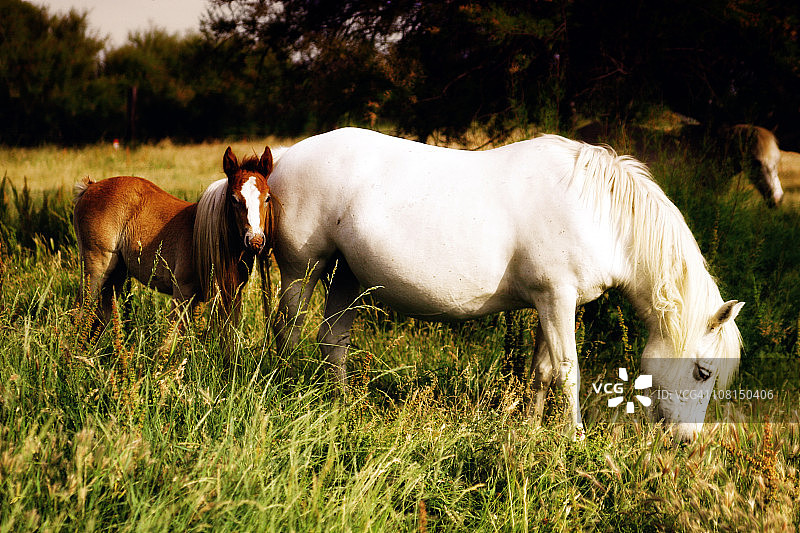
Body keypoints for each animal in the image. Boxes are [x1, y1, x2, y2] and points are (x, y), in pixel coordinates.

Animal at [73, 146, 274, 337]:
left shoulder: (229, 296)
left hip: (116, 272)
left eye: (267, 198)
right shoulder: (182, 292)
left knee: (101, 316)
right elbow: (172, 340)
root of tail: (90, 187)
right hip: (95, 267)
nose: (255, 241)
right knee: (80, 312)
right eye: (234, 198)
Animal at [269, 127, 743, 442]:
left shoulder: (552, 303)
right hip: (302, 268)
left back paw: (342, 402)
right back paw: (287, 389)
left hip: (347, 273)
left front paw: (531, 430)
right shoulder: (557, 298)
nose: (687, 442)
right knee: (287, 329)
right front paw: (575, 438)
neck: (599, 213)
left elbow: (543, 371)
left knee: (332, 339)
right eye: (703, 371)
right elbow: (569, 371)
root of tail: (285, 157)